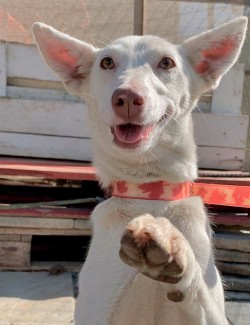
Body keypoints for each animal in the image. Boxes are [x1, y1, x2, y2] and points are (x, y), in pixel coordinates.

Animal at [33, 18, 248, 324]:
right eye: (107, 62)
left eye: (167, 62)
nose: (126, 98)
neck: (150, 195)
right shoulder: (96, 312)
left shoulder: (213, 315)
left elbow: (197, 289)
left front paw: (176, 249)